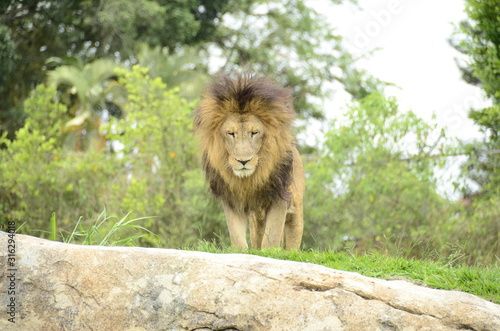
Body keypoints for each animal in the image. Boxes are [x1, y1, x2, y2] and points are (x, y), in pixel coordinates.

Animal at [194, 75, 304, 250]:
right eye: (231, 133)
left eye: (254, 133)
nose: (243, 161)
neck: (248, 180)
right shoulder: (231, 199)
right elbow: (236, 235)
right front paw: (241, 252)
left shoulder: (279, 198)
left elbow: (272, 235)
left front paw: (271, 252)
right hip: (256, 219)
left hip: (296, 211)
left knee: (293, 238)